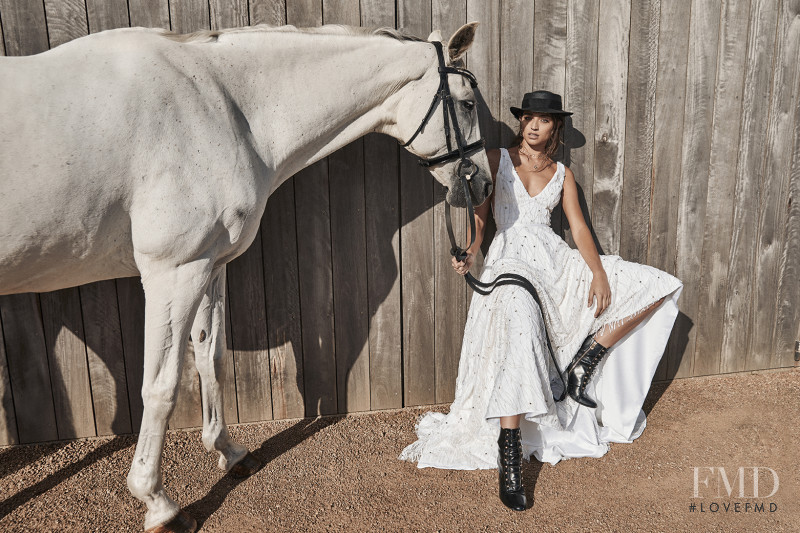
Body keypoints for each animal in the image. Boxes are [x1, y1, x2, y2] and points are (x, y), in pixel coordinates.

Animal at [0, 20, 488, 532]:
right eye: (467, 103)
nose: (482, 184)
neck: (221, 107)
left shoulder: (209, 266)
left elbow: (210, 358)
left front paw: (229, 452)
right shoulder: (174, 272)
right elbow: (161, 386)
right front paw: (157, 501)